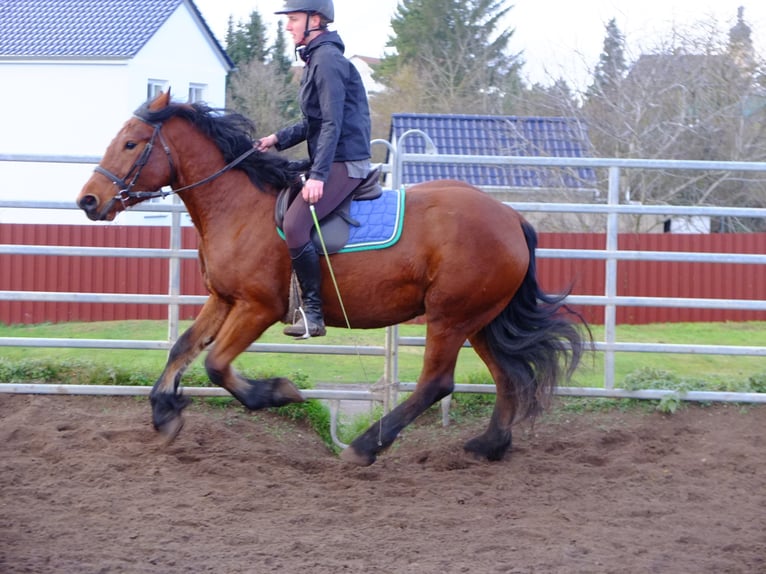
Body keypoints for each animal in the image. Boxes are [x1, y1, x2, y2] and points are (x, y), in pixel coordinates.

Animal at [76, 91, 588, 468]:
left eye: (131, 143)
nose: (88, 200)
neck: (239, 206)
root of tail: (511, 218)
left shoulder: (258, 307)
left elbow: (216, 364)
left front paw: (276, 393)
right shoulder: (223, 299)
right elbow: (182, 348)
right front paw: (164, 412)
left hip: (449, 317)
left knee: (437, 384)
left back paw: (365, 447)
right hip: (478, 320)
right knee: (506, 376)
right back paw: (490, 445)